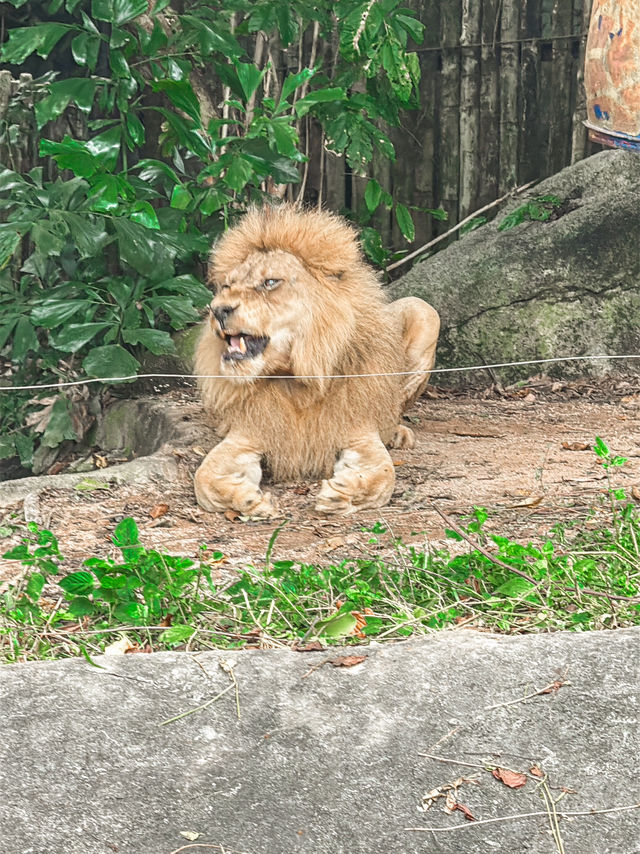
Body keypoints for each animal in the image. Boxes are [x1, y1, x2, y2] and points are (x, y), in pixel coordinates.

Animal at [192, 204, 438, 520]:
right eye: (226, 285)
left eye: (270, 282)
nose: (218, 310)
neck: (296, 379)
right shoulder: (246, 435)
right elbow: (203, 480)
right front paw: (248, 500)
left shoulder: (359, 433)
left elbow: (384, 477)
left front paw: (343, 494)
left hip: (424, 311)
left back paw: (397, 433)